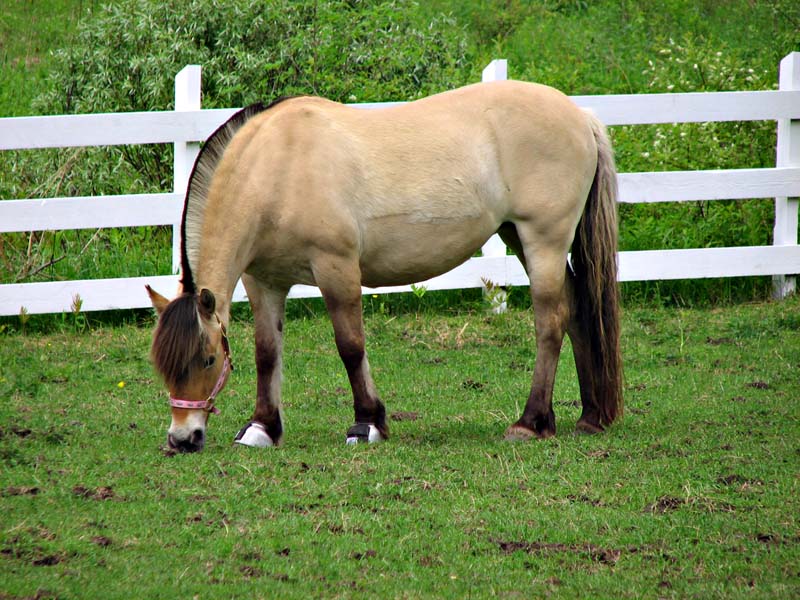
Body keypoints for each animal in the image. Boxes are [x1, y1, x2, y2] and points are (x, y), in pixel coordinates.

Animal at [147, 81, 620, 454]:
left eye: (207, 360)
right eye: (162, 364)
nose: (182, 438)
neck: (278, 168)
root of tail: (581, 116)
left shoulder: (336, 268)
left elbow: (350, 345)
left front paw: (367, 423)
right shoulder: (264, 281)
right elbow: (267, 352)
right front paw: (263, 428)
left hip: (543, 242)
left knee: (551, 322)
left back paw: (530, 422)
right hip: (517, 237)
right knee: (577, 311)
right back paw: (589, 417)